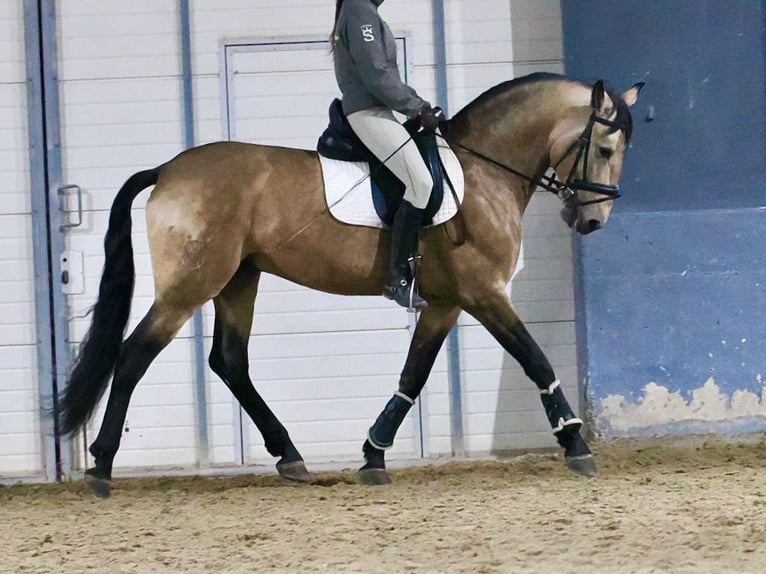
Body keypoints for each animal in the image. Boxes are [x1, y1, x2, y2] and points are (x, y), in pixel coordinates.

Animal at [60, 72, 644, 498]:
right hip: (191, 286)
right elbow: (535, 359)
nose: (593, 222)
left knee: (229, 361)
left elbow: (414, 374)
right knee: (135, 355)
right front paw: (574, 442)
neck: (483, 172)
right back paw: (102, 467)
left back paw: (290, 457)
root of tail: (167, 169)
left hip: (239, 280)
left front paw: (374, 453)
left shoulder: (445, 304)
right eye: (606, 149)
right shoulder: (484, 294)